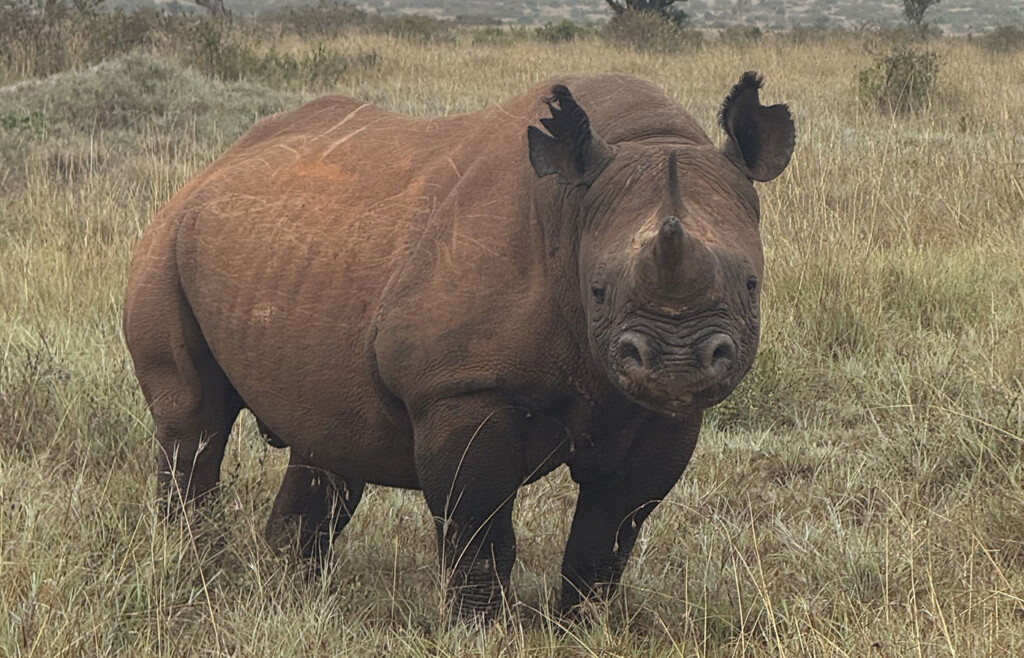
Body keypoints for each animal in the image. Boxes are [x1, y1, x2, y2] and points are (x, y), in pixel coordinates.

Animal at [119, 73, 790, 622]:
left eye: (752, 285)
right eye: (597, 290)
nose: (676, 365)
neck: (574, 211)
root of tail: (217, 162)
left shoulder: (663, 417)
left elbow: (610, 530)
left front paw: (583, 626)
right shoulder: (460, 386)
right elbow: (478, 527)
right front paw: (479, 629)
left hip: (299, 245)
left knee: (326, 434)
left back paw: (289, 586)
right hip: (166, 236)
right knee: (194, 419)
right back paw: (197, 570)